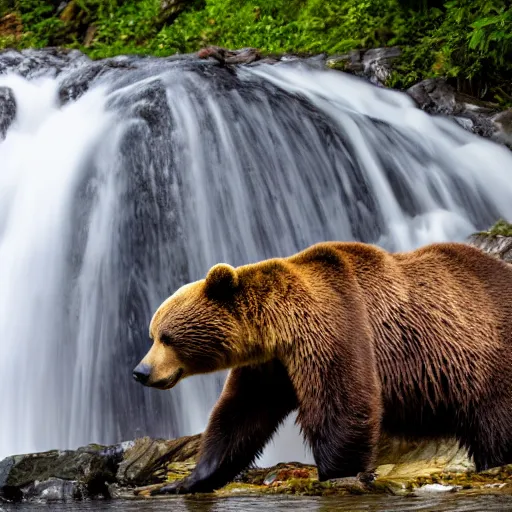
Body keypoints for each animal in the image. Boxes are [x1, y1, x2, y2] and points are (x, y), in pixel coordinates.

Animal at [134, 242, 512, 494]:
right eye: (152, 334)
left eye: (166, 337)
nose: (140, 372)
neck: (278, 328)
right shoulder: (270, 367)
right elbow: (238, 416)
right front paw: (184, 481)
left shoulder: (336, 323)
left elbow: (344, 403)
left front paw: (335, 474)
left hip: (488, 362)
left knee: (496, 429)